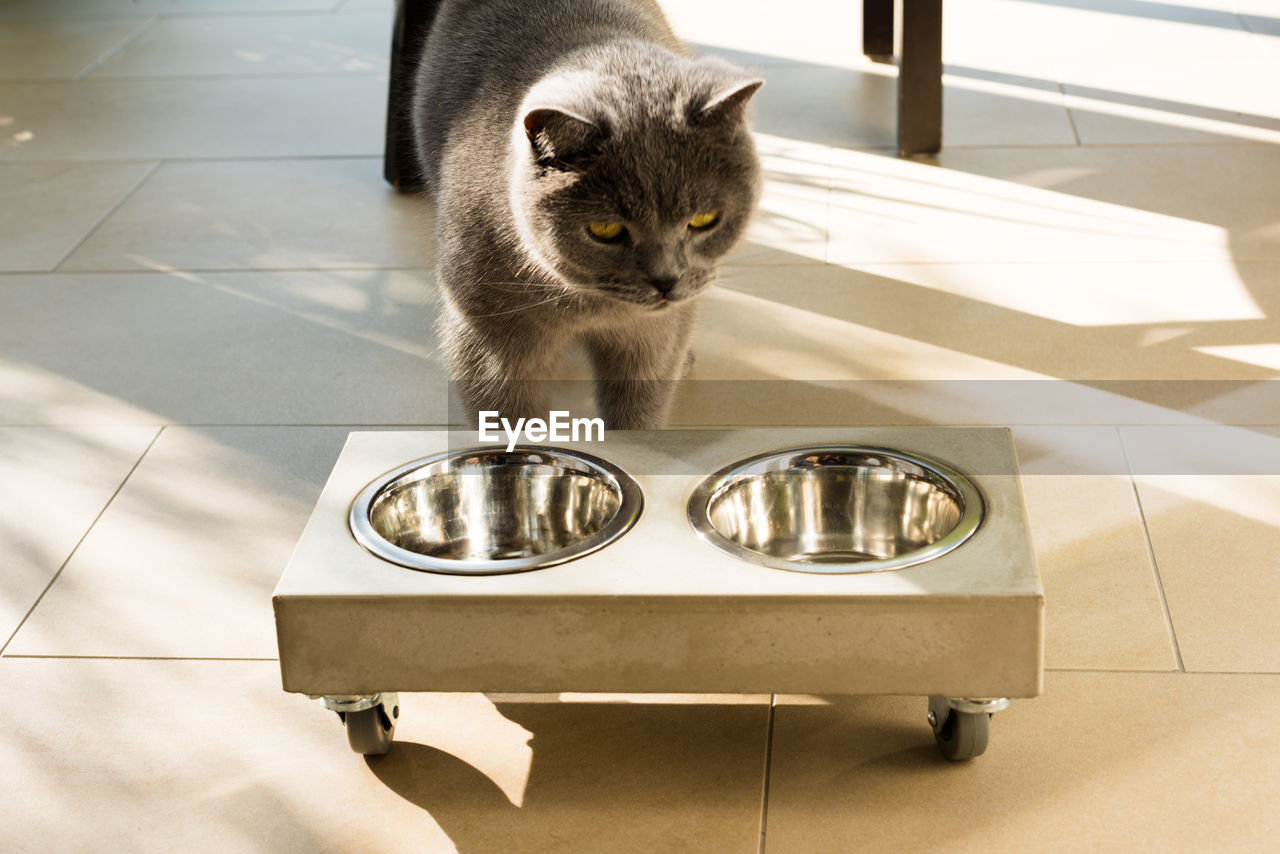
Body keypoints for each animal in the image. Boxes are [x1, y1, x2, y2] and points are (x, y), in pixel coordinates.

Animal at [414, 0, 762, 427]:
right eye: (605, 229)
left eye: (703, 220)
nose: (666, 281)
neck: (588, 307)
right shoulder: (490, 339)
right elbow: (507, 414)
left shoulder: (653, 338)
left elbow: (640, 409)